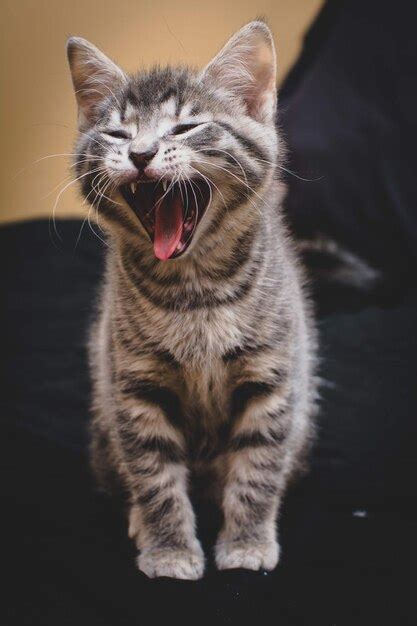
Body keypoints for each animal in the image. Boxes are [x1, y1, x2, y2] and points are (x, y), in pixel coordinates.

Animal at [66, 19, 316, 576]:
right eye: (117, 134)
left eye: (184, 128)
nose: (140, 154)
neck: (194, 290)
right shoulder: (134, 386)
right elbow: (155, 476)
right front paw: (170, 549)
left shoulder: (272, 378)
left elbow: (258, 468)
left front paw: (246, 543)